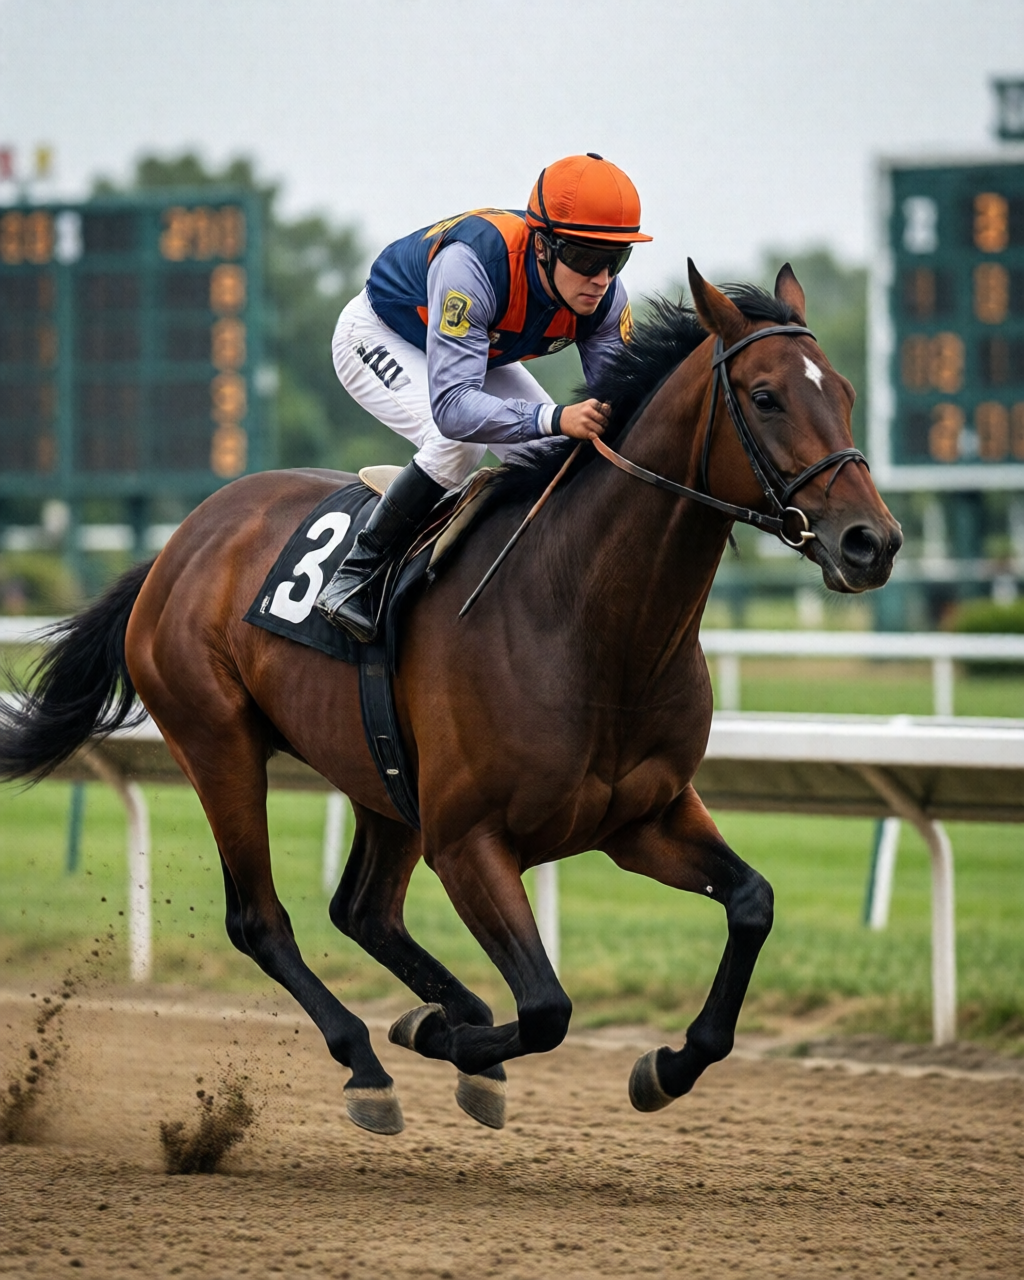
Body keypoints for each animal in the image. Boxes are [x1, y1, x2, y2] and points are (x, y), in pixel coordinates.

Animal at [0, 262, 902, 1136]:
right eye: (766, 395)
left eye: (846, 391)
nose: (874, 541)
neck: (587, 621)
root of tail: (177, 546)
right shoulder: (470, 842)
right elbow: (546, 1007)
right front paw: (445, 1039)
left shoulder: (642, 818)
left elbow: (751, 904)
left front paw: (665, 1066)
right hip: (218, 743)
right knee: (261, 919)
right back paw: (371, 1060)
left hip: (381, 778)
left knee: (363, 911)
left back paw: (447, 1020)